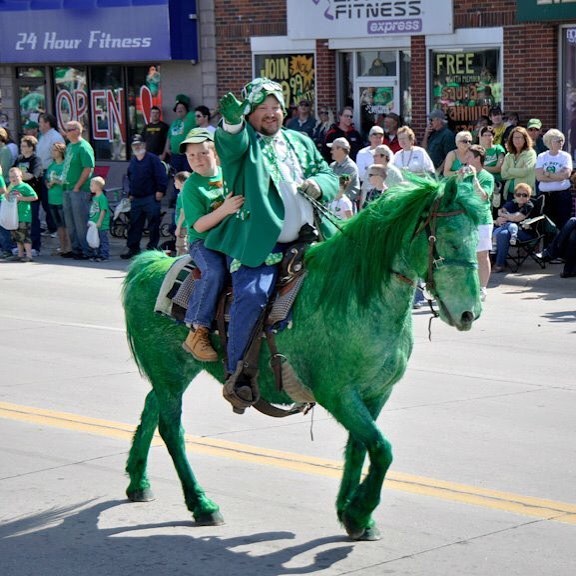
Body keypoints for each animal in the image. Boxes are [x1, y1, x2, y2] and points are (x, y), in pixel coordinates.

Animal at [124, 176, 484, 540]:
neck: (357, 296)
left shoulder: (376, 393)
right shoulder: (338, 394)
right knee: (171, 428)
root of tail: (148, 264)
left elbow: (361, 446)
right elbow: (382, 449)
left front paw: (352, 514)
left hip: (176, 372)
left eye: (476, 238)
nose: (469, 313)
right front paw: (358, 512)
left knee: (152, 407)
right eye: (450, 241)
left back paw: (139, 482)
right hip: (170, 371)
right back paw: (202, 505)